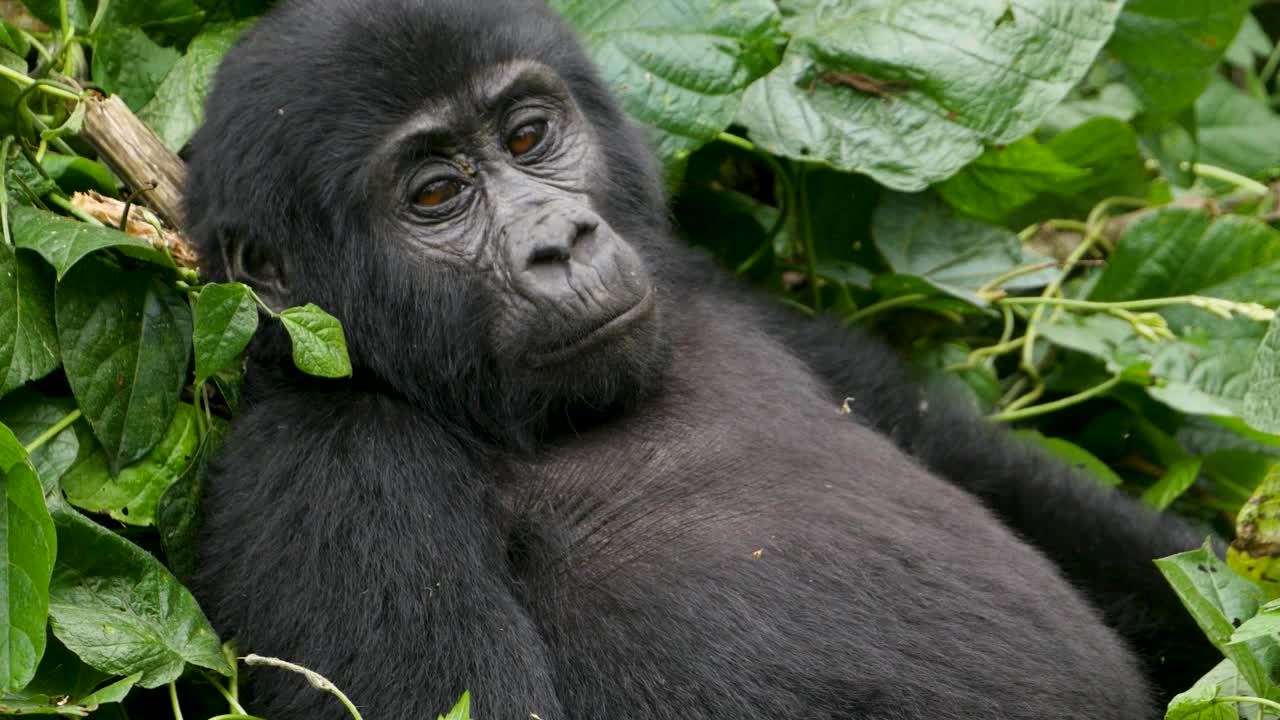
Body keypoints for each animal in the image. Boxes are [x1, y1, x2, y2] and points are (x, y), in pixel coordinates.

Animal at [186, 1, 1218, 717]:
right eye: (437, 194)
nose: (560, 241)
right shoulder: (338, 466)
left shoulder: (707, 284)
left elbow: (998, 473)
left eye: (527, 135)